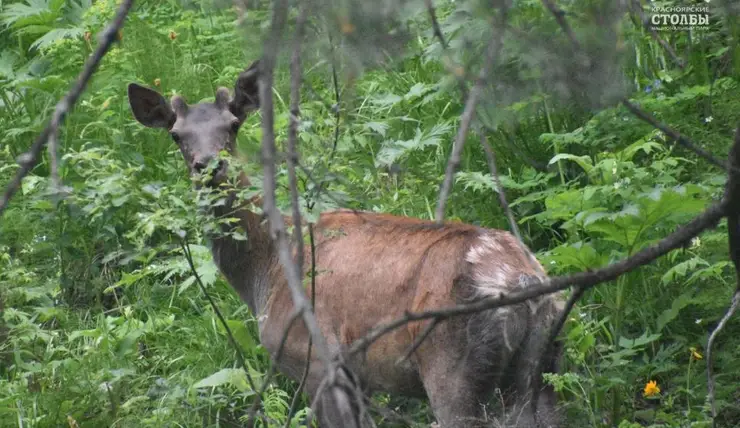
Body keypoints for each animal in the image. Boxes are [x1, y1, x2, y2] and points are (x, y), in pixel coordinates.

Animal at [127, 60, 568, 428]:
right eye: (176, 135)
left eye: (233, 124)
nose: (209, 165)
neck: (264, 273)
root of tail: (526, 281)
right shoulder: (359, 378)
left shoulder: (317, 360)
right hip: (544, 364)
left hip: (454, 366)